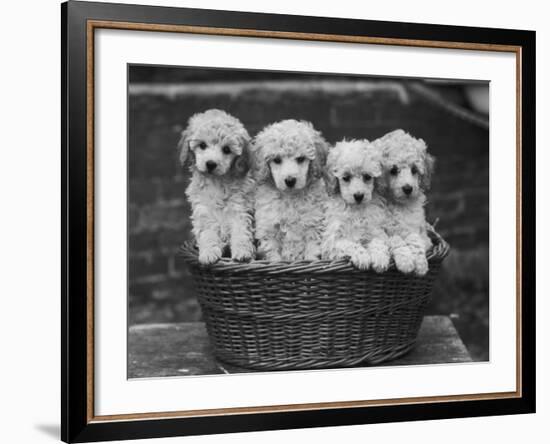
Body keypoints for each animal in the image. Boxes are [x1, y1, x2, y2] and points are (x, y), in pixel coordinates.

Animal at [179, 109, 256, 266]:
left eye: (226, 149)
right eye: (202, 145)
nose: (210, 164)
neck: (217, 182)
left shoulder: (240, 208)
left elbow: (241, 231)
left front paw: (243, 253)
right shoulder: (203, 211)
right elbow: (207, 234)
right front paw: (209, 253)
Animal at [253, 119, 330, 262]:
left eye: (300, 159)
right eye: (277, 160)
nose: (290, 180)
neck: (290, 197)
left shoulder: (313, 224)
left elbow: (312, 250)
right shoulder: (269, 228)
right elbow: (273, 254)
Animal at [324, 140, 392, 270]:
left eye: (367, 177)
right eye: (346, 177)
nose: (359, 196)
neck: (356, 209)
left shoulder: (375, 229)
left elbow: (378, 241)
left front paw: (380, 258)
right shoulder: (332, 242)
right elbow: (350, 244)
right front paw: (363, 257)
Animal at [374, 129, 438, 274]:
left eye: (414, 169)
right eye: (393, 170)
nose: (408, 188)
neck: (398, 205)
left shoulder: (419, 230)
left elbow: (414, 239)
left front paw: (420, 264)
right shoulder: (380, 230)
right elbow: (395, 239)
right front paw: (406, 261)